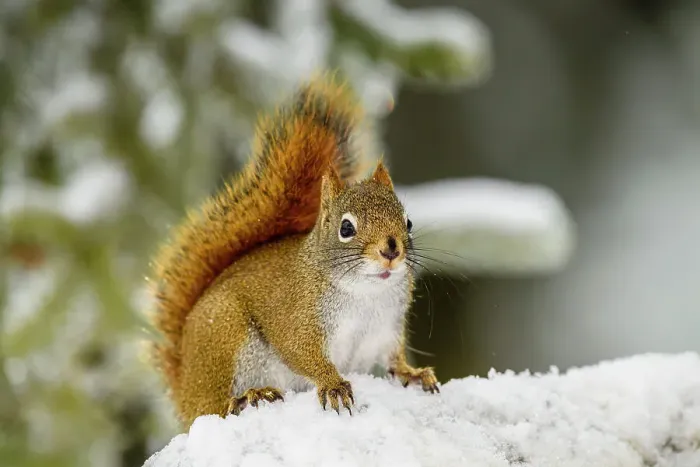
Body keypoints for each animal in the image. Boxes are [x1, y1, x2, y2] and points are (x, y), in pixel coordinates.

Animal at [147, 73, 439, 428]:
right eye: (346, 228)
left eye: (408, 222)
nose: (391, 251)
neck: (365, 294)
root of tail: (184, 387)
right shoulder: (296, 318)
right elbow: (300, 352)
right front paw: (333, 384)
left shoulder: (385, 330)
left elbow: (394, 360)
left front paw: (414, 373)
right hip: (224, 338)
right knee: (213, 407)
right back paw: (248, 397)